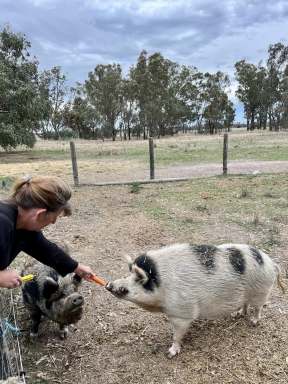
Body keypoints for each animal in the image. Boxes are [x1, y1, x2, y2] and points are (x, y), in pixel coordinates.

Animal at [106, 243, 284, 356]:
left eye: (125, 289)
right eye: (126, 276)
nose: (108, 284)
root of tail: (272, 263)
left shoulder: (182, 312)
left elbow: (177, 335)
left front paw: (170, 353)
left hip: (262, 291)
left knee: (258, 308)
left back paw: (253, 322)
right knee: (245, 304)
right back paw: (237, 314)